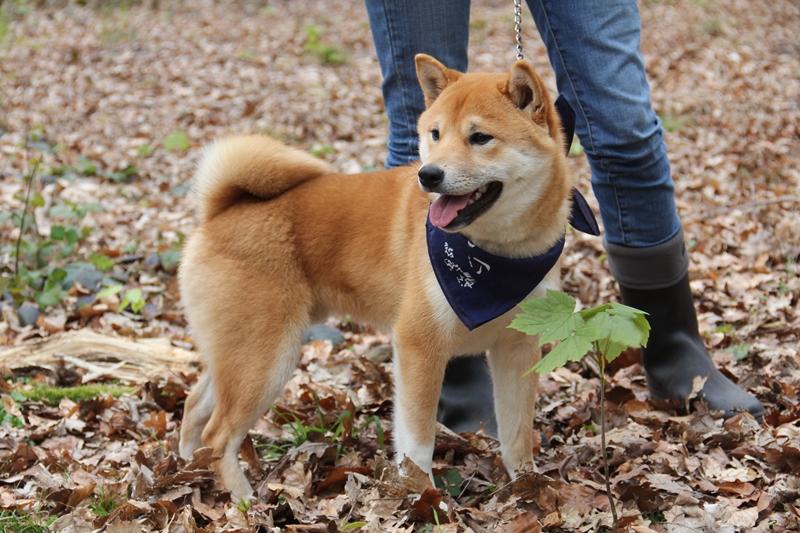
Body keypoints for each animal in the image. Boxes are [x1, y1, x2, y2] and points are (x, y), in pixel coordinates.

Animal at [180, 55, 580, 498]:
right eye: (435, 134)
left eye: (480, 138)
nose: (428, 175)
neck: (494, 259)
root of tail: (220, 211)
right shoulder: (419, 345)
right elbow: (418, 440)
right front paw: (422, 496)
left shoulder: (517, 349)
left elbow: (516, 434)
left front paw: (528, 488)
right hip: (267, 359)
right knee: (218, 434)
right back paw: (244, 501)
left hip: (240, 352)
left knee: (193, 409)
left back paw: (185, 471)